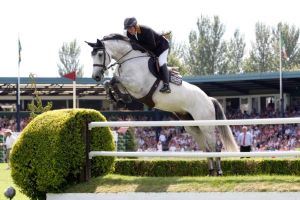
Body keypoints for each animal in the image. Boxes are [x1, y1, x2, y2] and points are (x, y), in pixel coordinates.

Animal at [85, 33, 238, 175]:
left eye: (100, 54)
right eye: (91, 55)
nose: (95, 77)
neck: (129, 59)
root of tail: (209, 99)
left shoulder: (137, 86)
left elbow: (115, 79)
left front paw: (121, 99)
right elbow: (110, 82)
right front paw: (117, 98)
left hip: (206, 124)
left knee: (214, 146)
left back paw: (219, 172)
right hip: (192, 126)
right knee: (206, 148)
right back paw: (211, 172)